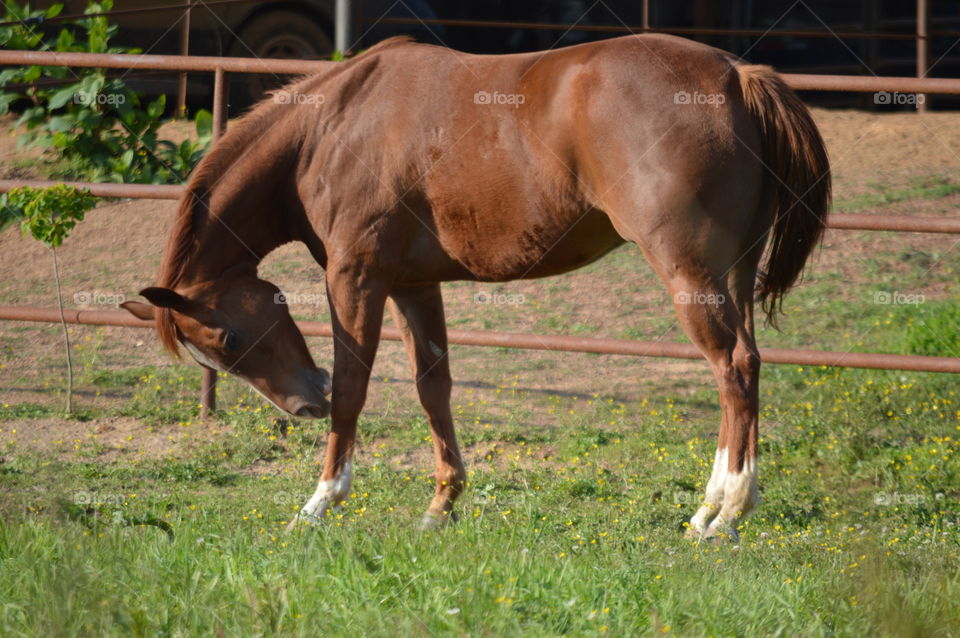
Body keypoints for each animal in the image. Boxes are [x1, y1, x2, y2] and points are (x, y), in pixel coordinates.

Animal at [121, 34, 830, 540]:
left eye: (227, 338)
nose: (301, 407)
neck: (328, 129)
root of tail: (735, 75)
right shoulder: (413, 285)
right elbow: (433, 388)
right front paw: (441, 506)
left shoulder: (355, 277)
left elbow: (353, 388)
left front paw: (320, 502)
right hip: (732, 276)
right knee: (749, 365)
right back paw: (729, 510)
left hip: (690, 275)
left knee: (732, 368)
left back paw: (720, 512)